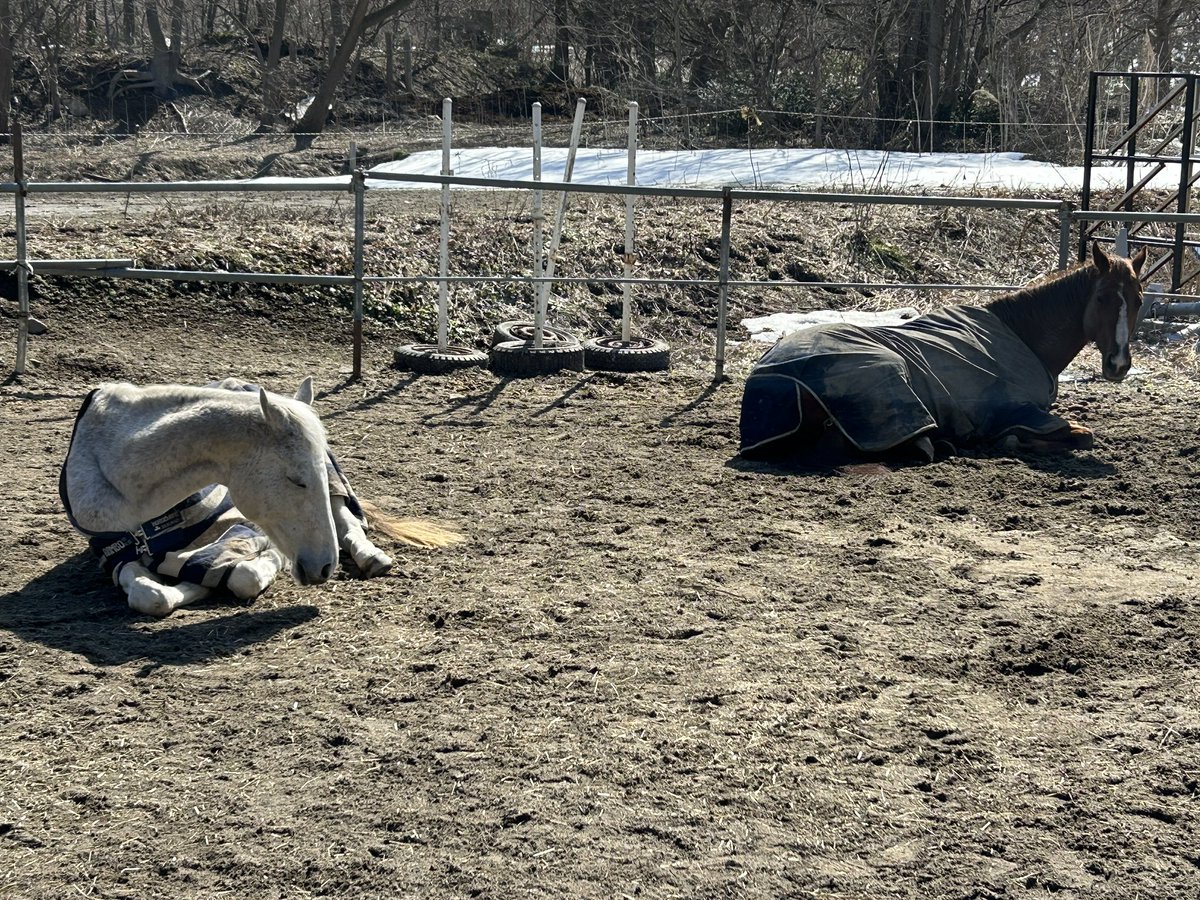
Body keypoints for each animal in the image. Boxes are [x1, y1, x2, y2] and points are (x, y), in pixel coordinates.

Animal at [60, 377, 462, 617]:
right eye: (296, 480)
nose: (324, 567)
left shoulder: (244, 529)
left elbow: (245, 576)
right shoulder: (116, 556)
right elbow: (149, 596)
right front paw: (189, 583)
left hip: (338, 489)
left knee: (349, 523)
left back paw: (372, 557)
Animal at [739, 244, 1148, 464]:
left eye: (1139, 300)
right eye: (1101, 298)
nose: (1118, 364)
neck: (1021, 335)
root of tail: (768, 370)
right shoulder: (1019, 412)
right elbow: (1081, 435)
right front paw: (1011, 442)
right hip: (889, 376)